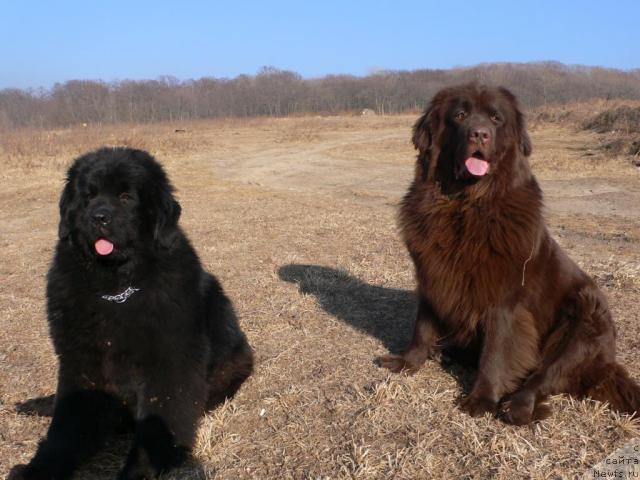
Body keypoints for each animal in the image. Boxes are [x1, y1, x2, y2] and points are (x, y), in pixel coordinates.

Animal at [10, 148, 254, 478]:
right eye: (88, 197)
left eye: (126, 197)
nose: (99, 217)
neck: (117, 289)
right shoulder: (82, 364)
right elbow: (67, 426)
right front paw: (39, 468)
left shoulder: (169, 366)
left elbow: (159, 422)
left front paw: (139, 470)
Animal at [380, 83, 640, 424]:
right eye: (459, 115)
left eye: (495, 118)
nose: (480, 134)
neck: (467, 205)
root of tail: (609, 364)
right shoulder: (431, 276)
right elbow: (422, 325)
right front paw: (407, 361)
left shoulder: (504, 301)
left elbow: (497, 350)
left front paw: (481, 398)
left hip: (584, 322)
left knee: (545, 375)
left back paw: (517, 404)